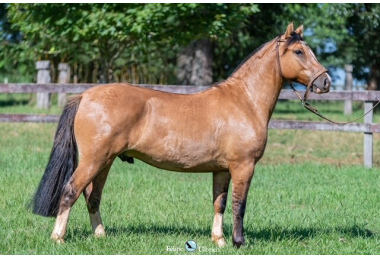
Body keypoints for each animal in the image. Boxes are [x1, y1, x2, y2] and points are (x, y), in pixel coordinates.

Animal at [31, 22, 332, 248]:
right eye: (298, 51)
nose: (325, 81)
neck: (243, 101)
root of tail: (85, 95)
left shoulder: (221, 169)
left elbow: (220, 203)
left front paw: (219, 241)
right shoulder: (243, 166)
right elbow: (239, 205)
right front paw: (239, 242)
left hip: (104, 161)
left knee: (92, 196)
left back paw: (101, 236)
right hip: (93, 160)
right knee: (71, 190)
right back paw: (58, 238)